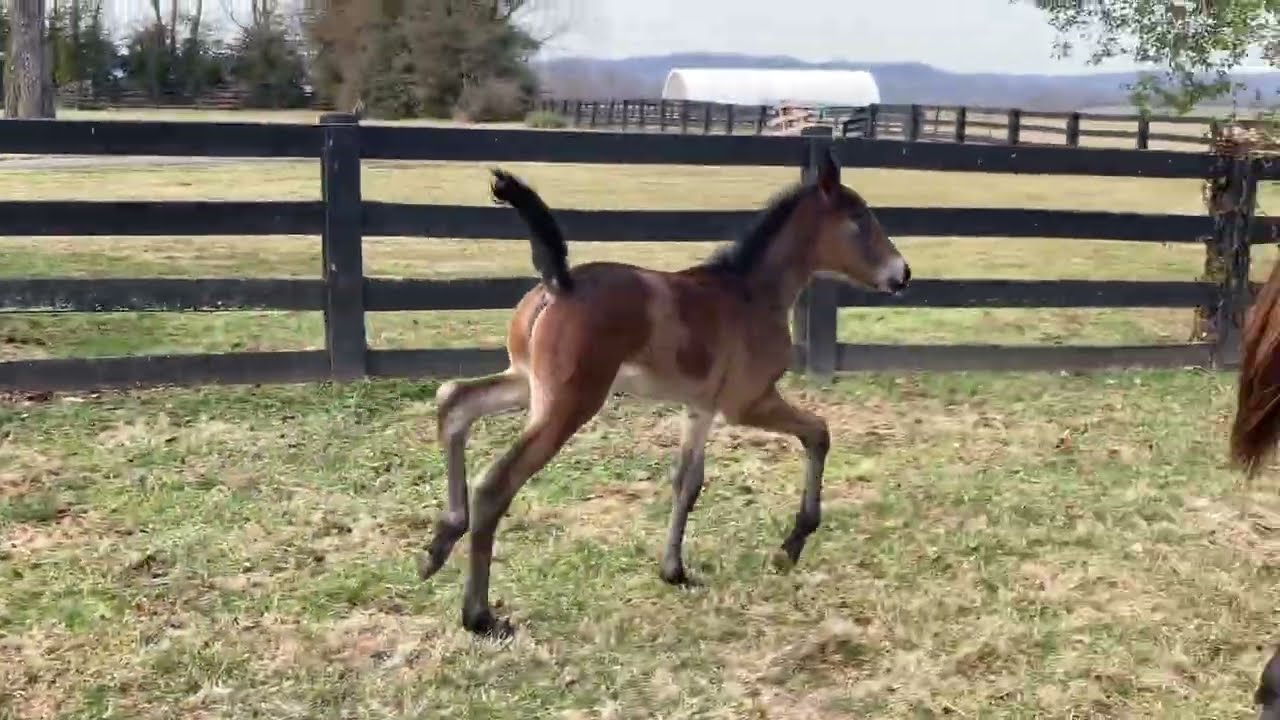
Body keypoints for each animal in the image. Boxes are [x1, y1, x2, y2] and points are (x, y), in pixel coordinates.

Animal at [419, 150, 912, 639]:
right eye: (859, 217)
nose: (902, 273)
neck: (753, 293)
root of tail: (559, 284)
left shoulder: (700, 407)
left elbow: (686, 482)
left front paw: (674, 571)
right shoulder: (748, 402)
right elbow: (818, 432)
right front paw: (791, 544)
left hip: (526, 382)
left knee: (454, 400)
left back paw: (440, 543)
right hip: (567, 403)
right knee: (496, 482)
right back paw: (479, 616)